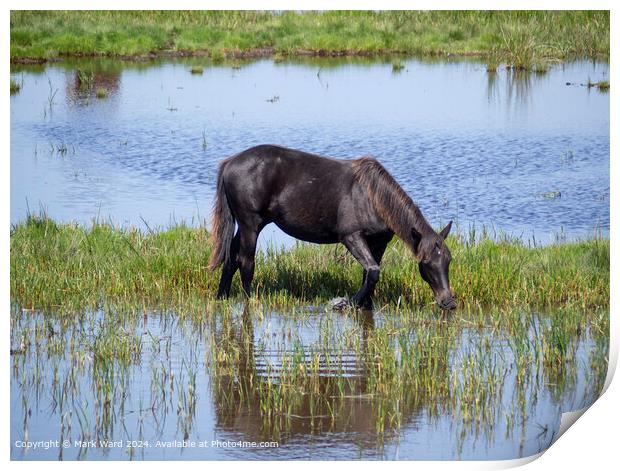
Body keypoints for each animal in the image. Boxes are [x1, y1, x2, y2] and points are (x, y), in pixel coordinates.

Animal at [208, 146, 456, 312]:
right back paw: (250, 300)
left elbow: (370, 273)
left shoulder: (378, 242)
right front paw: (344, 303)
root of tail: (229, 163)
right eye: (427, 263)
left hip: (249, 225)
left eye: (448, 261)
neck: (372, 197)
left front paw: (364, 305)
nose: (449, 302)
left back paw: (222, 297)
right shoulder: (351, 236)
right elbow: (372, 271)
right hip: (250, 224)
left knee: (230, 259)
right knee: (246, 262)